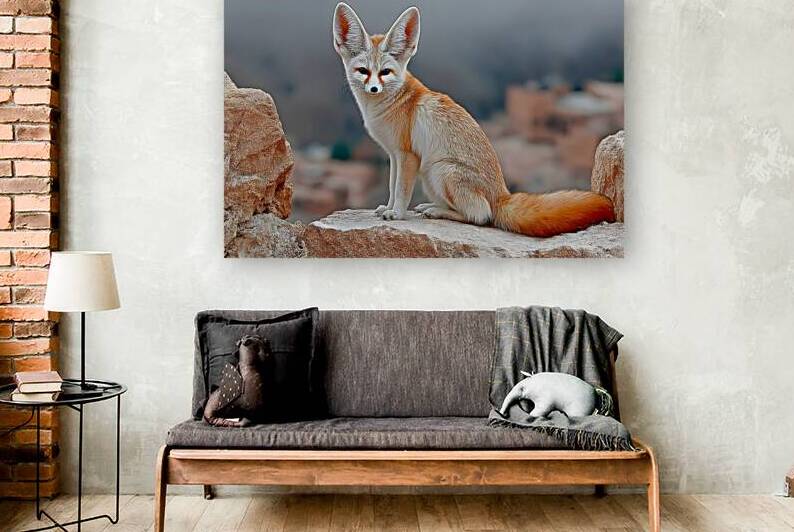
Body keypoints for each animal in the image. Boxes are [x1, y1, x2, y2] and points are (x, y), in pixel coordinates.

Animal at [332, 3, 616, 238]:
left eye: (385, 73)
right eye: (363, 71)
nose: (373, 89)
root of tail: (502, 195)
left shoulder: (407, 155)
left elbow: (401, 190)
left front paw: (398, 215)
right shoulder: (394, 155)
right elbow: (392, 188)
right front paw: (387, 209)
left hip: (438, 169)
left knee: (481, 216)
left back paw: (439, 211)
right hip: (430, 174)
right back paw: (433, 207)